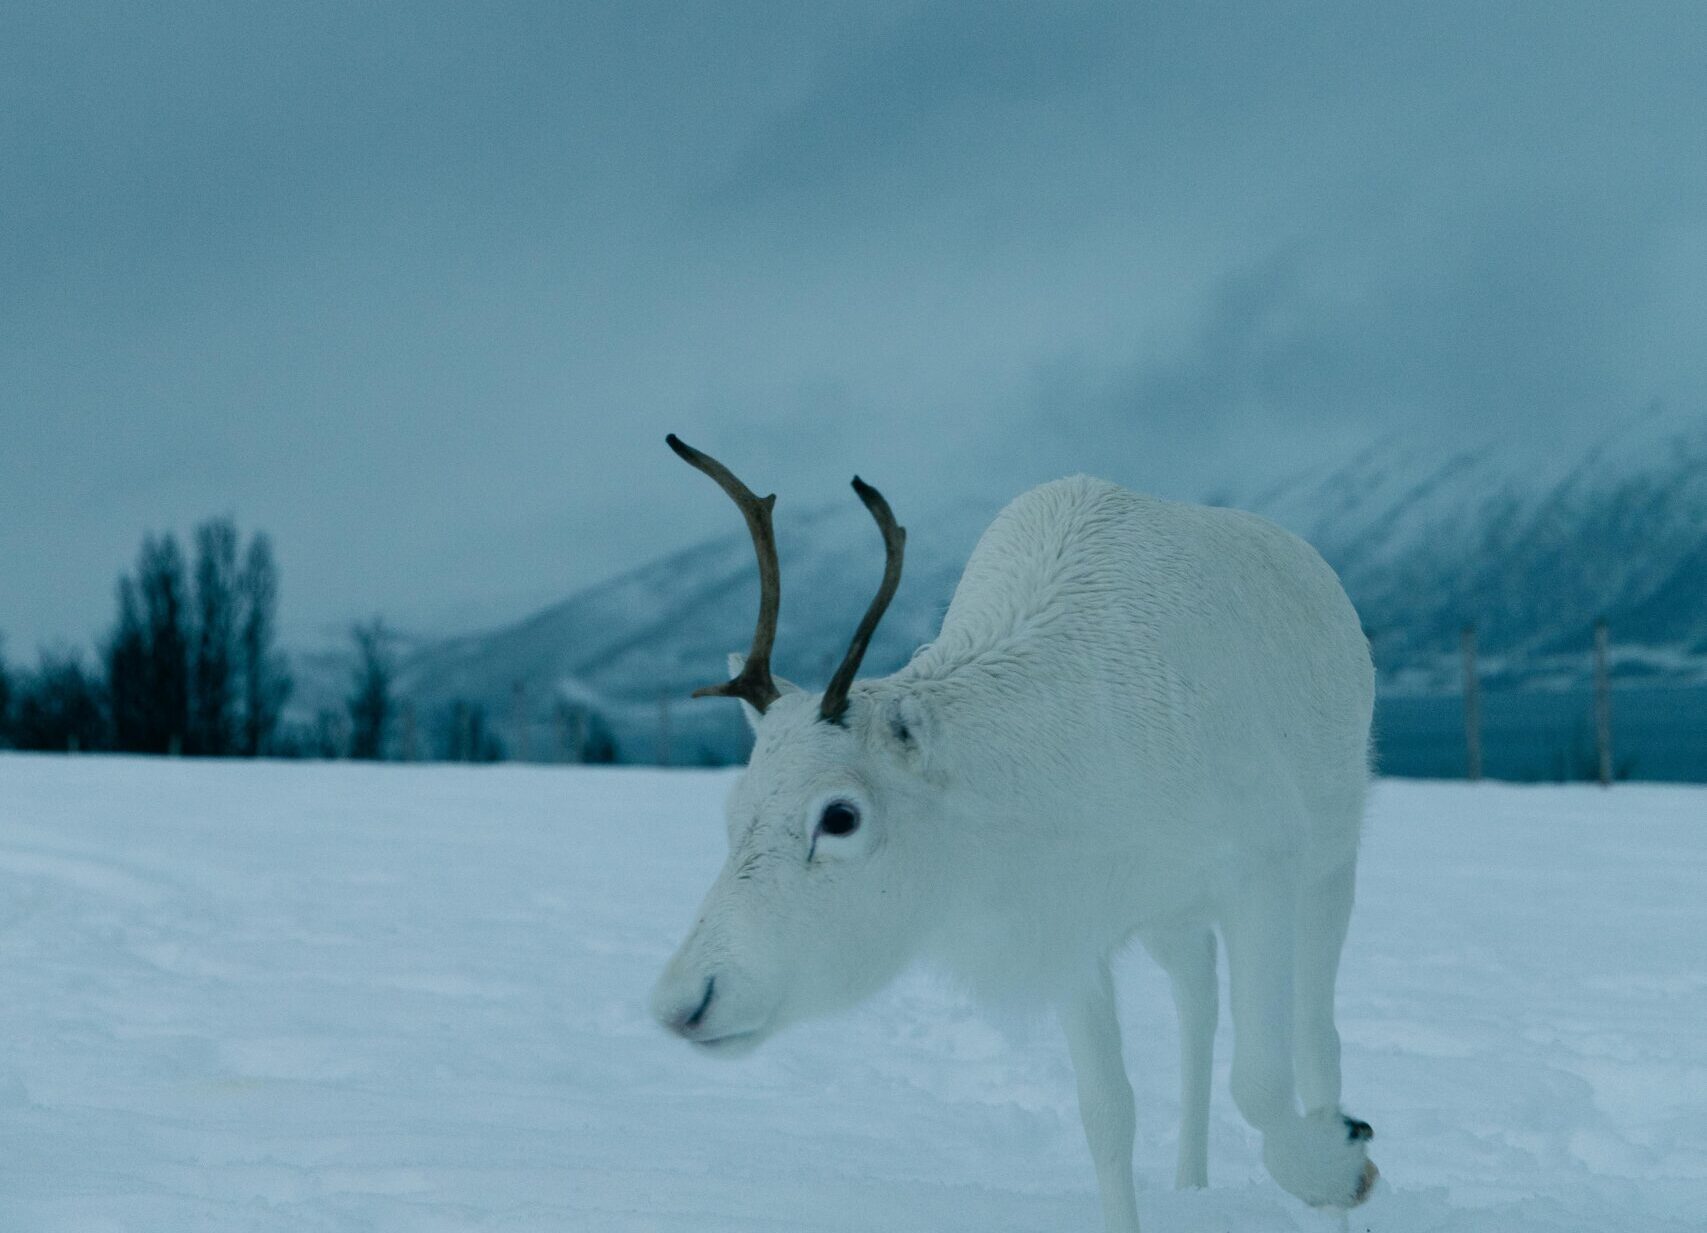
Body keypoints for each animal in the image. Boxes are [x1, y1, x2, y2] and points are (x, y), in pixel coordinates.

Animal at [649, 436, 1379, 1232]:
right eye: (731, 810)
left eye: (839, 816)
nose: (685, 1000)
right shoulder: (1071, 924)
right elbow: (1107, 1115)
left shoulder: (1262, 868)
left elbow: (1264, 1079)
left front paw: (1339, 1167)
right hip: (1171, 917)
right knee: (1198, 1005)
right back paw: (1190, 1181)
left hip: (1331, 862)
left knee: (1319, 1043)